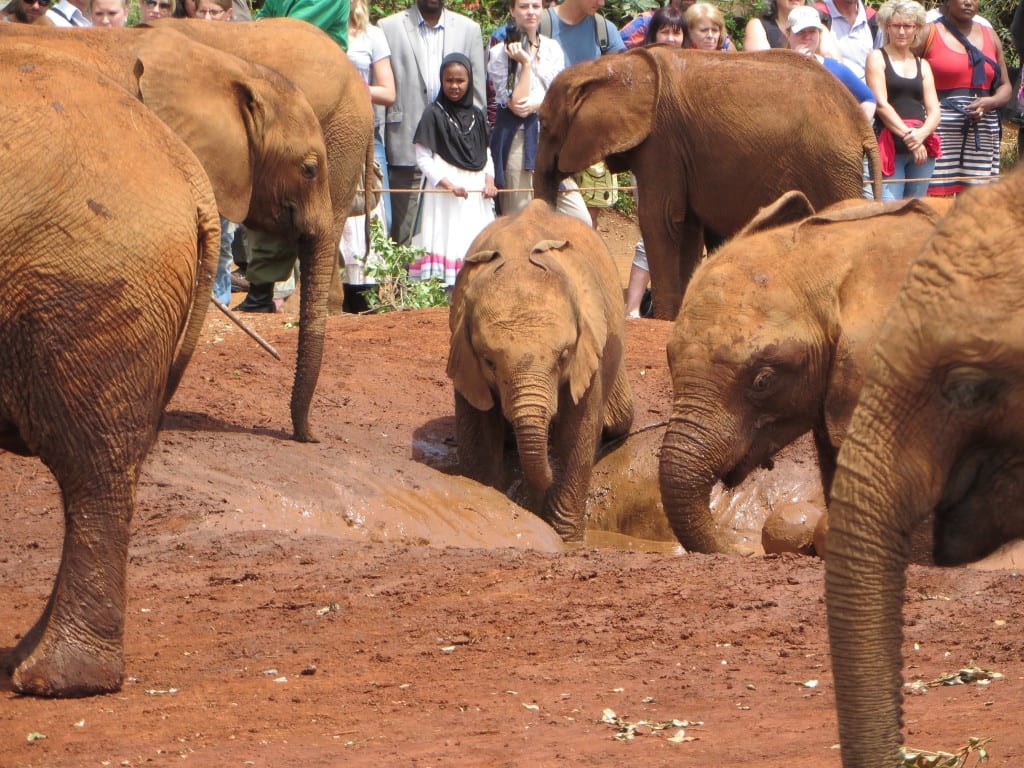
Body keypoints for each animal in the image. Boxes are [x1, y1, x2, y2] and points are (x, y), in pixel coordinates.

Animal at [447, 200, 634, 542]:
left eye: (564, 356)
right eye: (489, 362)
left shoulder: (586, 352)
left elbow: (577, 434)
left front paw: (566, 538)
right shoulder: (464, 354)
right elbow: (479, 434)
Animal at [533, 47, 883, 320]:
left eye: (544, 124)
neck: (614, 64)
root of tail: (862, 125)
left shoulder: (661, 140)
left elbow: (660, 218)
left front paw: (664, 318)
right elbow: (687, 225)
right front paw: (677, 315)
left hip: (829, 166)